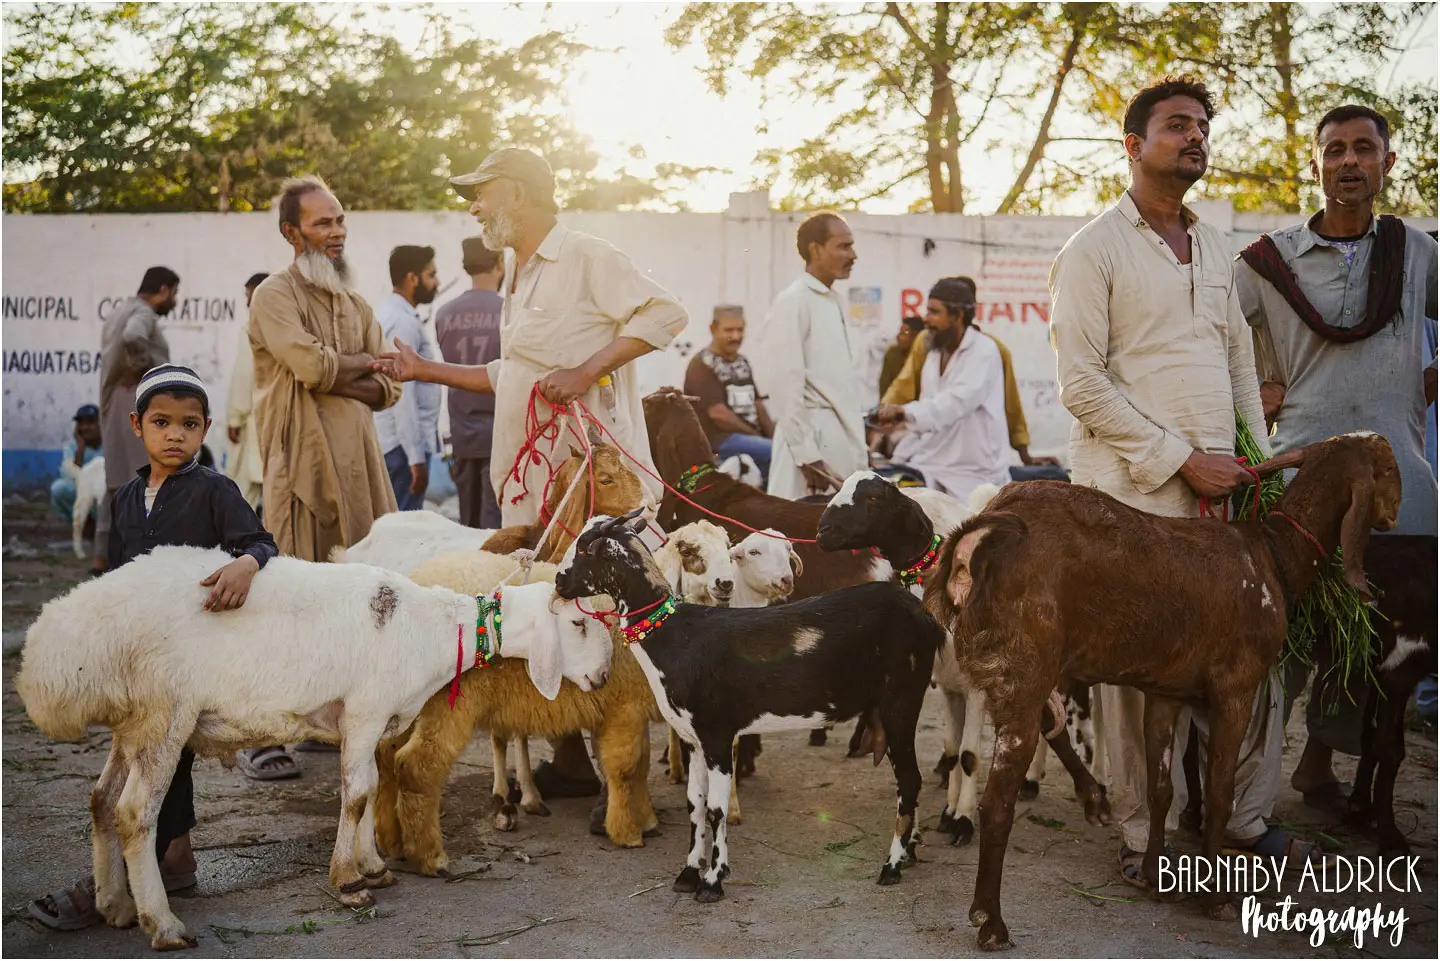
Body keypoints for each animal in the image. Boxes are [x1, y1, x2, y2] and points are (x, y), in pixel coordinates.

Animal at [15, 547, 610, 950]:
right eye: (577, 623)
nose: (604, 677)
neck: (437, 629)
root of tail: (63, 638)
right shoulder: (367, 709)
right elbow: (358, 793)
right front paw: (348, 882)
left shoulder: (372, 719)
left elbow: (369, 788)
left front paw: (373, 865)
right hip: (165, 712)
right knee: (135, 812)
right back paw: (162, 924)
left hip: (132, 722)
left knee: (100, 800)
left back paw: (114, 903)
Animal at [554, 510, 945, 903]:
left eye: (585, 548)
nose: (559, 581)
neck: (675, 635)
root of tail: (924, 615)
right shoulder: (693, 740)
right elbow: (694, 805)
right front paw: (688, 873)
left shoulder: (716, 734)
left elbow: (716, 810)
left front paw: (713, 881)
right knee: (908, 782)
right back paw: (909, 851)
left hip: (902, 701)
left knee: (910, 780)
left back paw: (892, 866)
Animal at [818, 472, 1109, 847]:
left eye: (872, 498)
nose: (822, 531)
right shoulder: (949, 687)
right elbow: (953, 751)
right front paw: (948, 812)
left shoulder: (976, 690)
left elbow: (969, 757)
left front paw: (964, 821)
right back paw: (1032, 780)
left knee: (1098, 719)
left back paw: (1097, 777)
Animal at [922, 432, 1400, 948]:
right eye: (1389, 468)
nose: (1395, 514)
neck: (1272, 556)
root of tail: (988, 528)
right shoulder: (1237, 686)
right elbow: (1219, 790)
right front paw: (1216, 899)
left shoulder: (1166, 691)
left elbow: (1161, 788)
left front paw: (1155, 877)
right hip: (1023, 669)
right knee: (997, 802)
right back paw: (990, 920)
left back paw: (1089, 806)